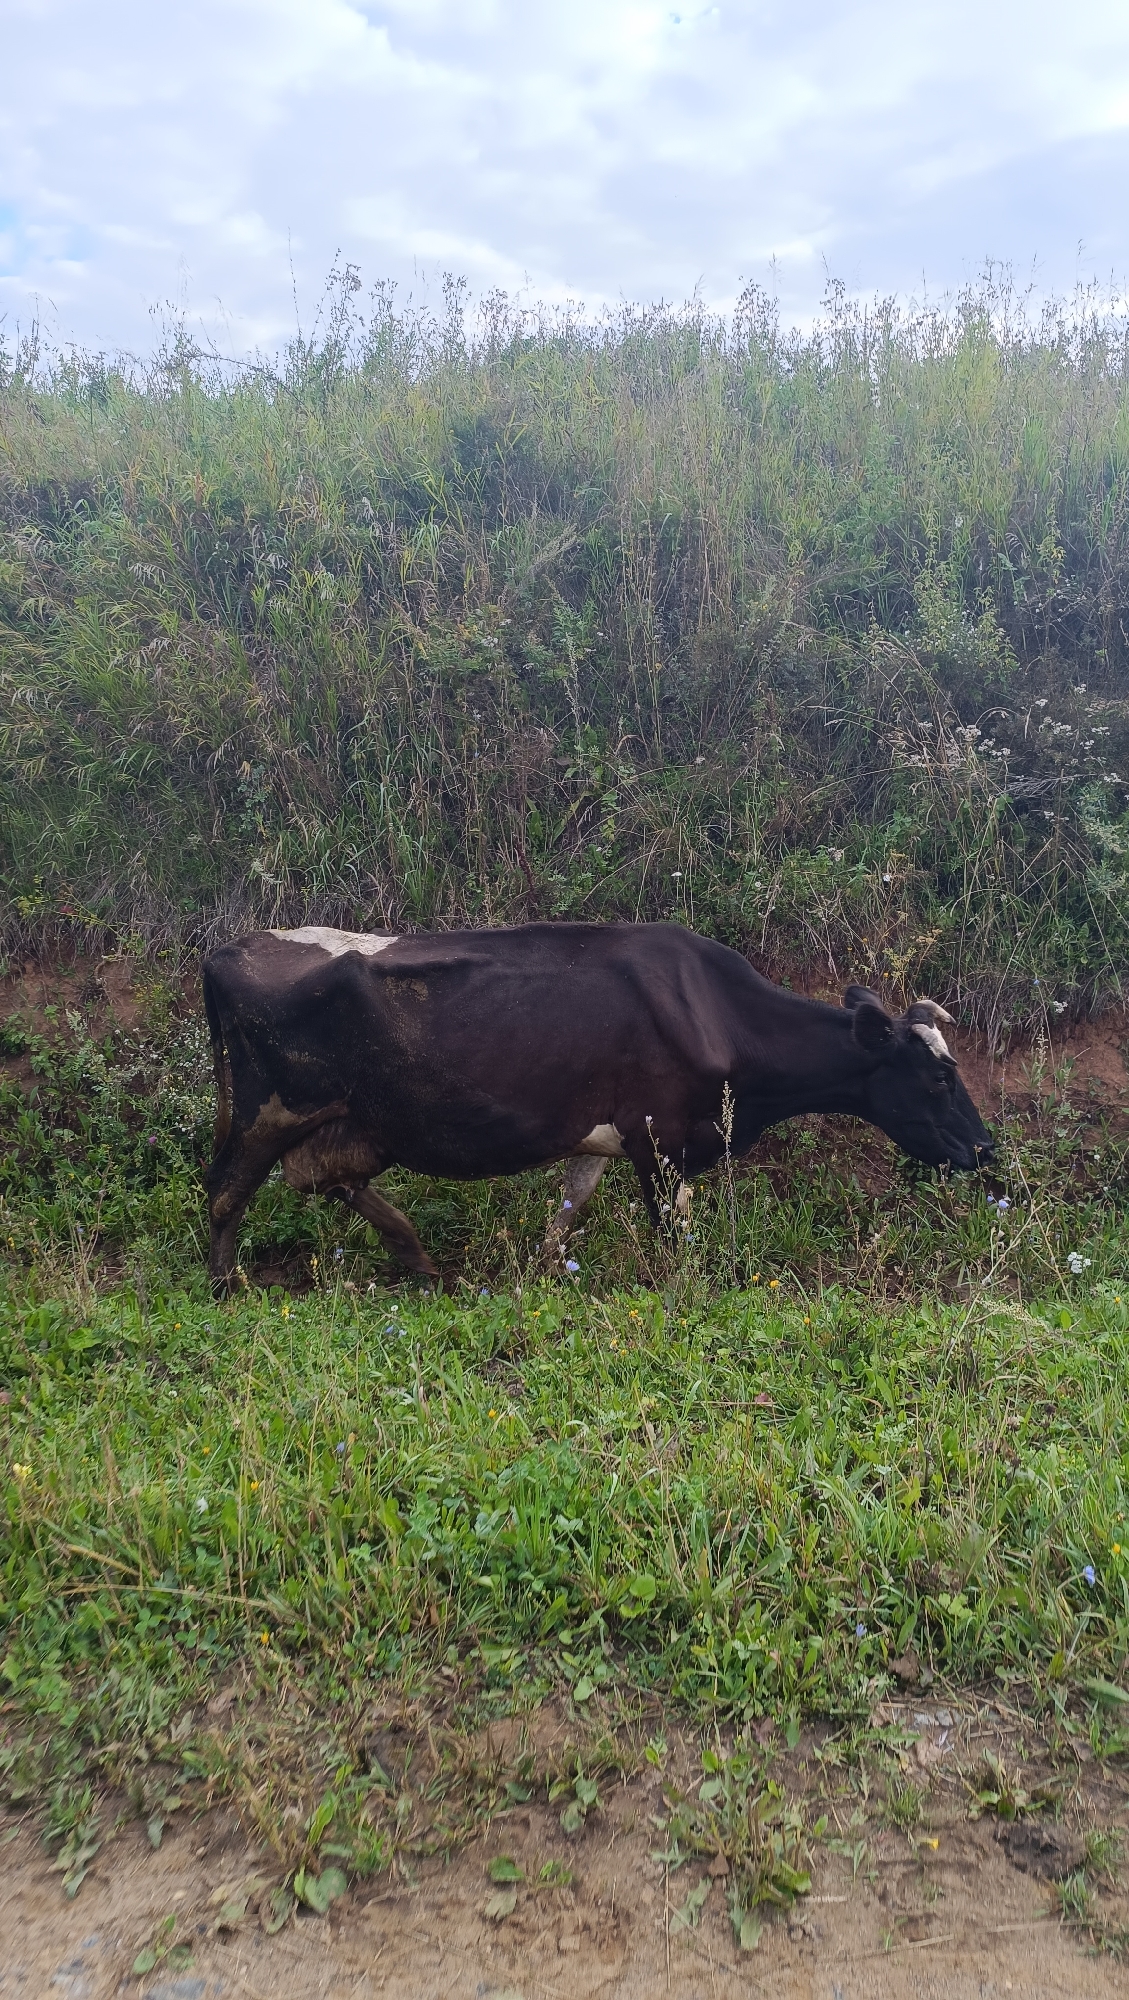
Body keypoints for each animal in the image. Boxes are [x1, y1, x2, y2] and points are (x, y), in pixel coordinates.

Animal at [201, 920, 993, 1294]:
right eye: (937, 1079)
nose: (985, 1149)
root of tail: (230, 948)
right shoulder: (663, 1137)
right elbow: (671, 1233)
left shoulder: (607, 1138)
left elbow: (567, 1211)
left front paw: (547, 1271)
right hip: (269, 1111)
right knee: (225, 1191)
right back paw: (224, 1283)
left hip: (350, 1120)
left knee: (328, 1177)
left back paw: (417, 1257)